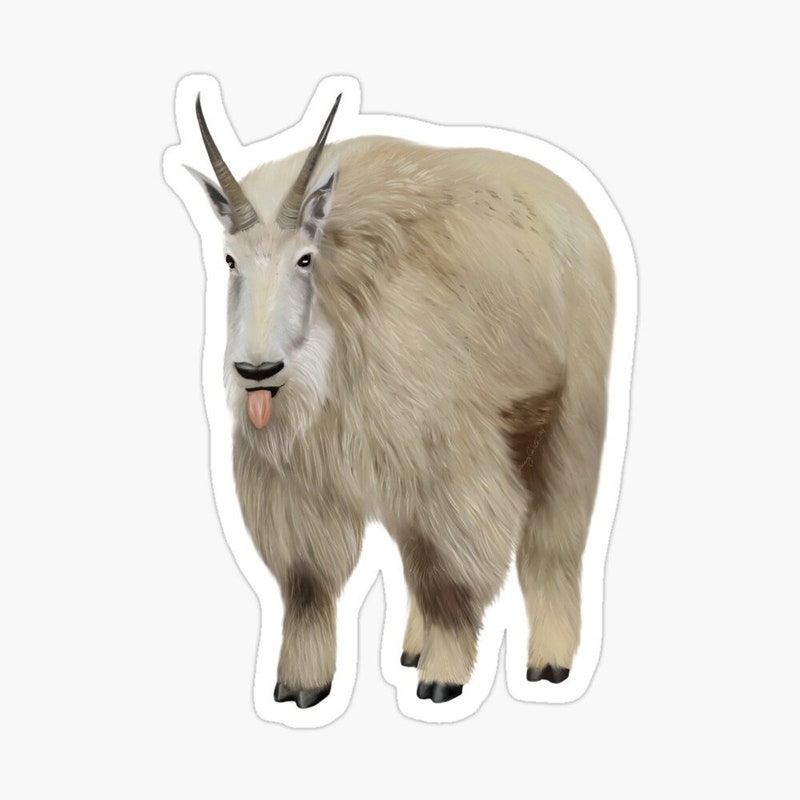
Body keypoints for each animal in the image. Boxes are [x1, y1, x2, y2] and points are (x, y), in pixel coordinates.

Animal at [187, 91, 615, 709]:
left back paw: (548, 661)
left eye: (304, 258)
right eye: (229, 260)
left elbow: (453, 572)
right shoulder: (304, 480)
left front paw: (444, 676)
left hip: (570, 415)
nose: (257, 372)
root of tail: (575, 208)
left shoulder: (448, 460)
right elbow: (309, 580)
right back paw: (411, 648)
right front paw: (301, 683)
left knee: (552, 540)